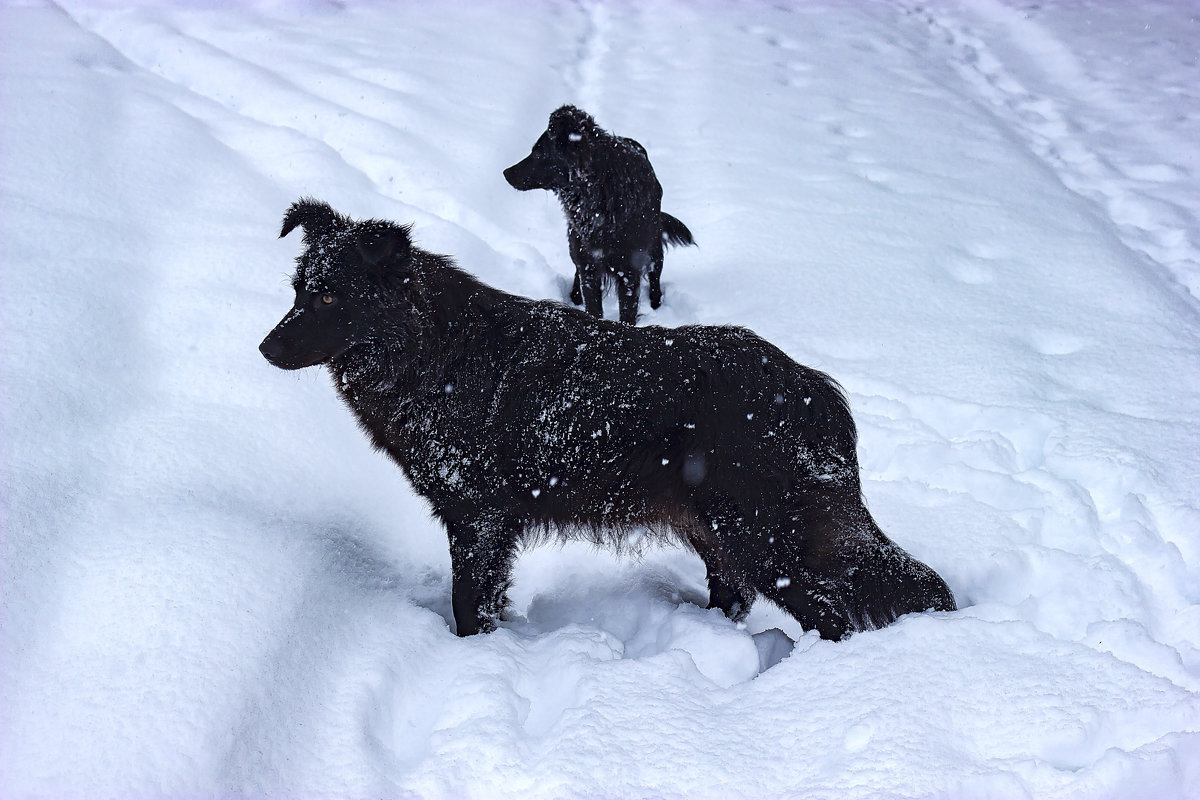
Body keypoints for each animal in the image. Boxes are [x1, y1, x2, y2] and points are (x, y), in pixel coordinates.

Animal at [260, 203, 955, 642]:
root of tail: (810, 386)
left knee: (839, 612)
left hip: (767, 540)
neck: (436, 354)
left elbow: (467, 606)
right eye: (297, 291)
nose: (265, 348)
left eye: (328, 296)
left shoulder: (478, 516)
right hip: (720, 536)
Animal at [504, 106, 696, 326]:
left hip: (653, 247)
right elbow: (592, 307)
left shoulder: (629, 271)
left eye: (539, 152)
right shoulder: (589, 265)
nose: (506, 173)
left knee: (656, 273)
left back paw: (656, 302)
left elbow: (627, 314)